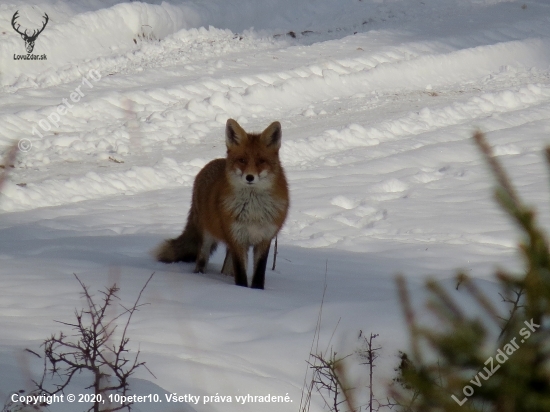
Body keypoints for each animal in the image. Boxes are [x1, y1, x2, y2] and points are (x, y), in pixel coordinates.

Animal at [155, 117, 292, 288]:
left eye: (261, 161)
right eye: (242, 160)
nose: (250, 177)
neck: (253, 210)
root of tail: (211, 163)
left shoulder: (264, 239)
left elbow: (258, 275)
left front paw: (256, 292)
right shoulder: (236, 238)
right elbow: (241, 275)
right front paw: (241, 290)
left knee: (226, 265)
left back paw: (225, 277)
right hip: (207, 236)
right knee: (201, 260)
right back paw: (200, 276)